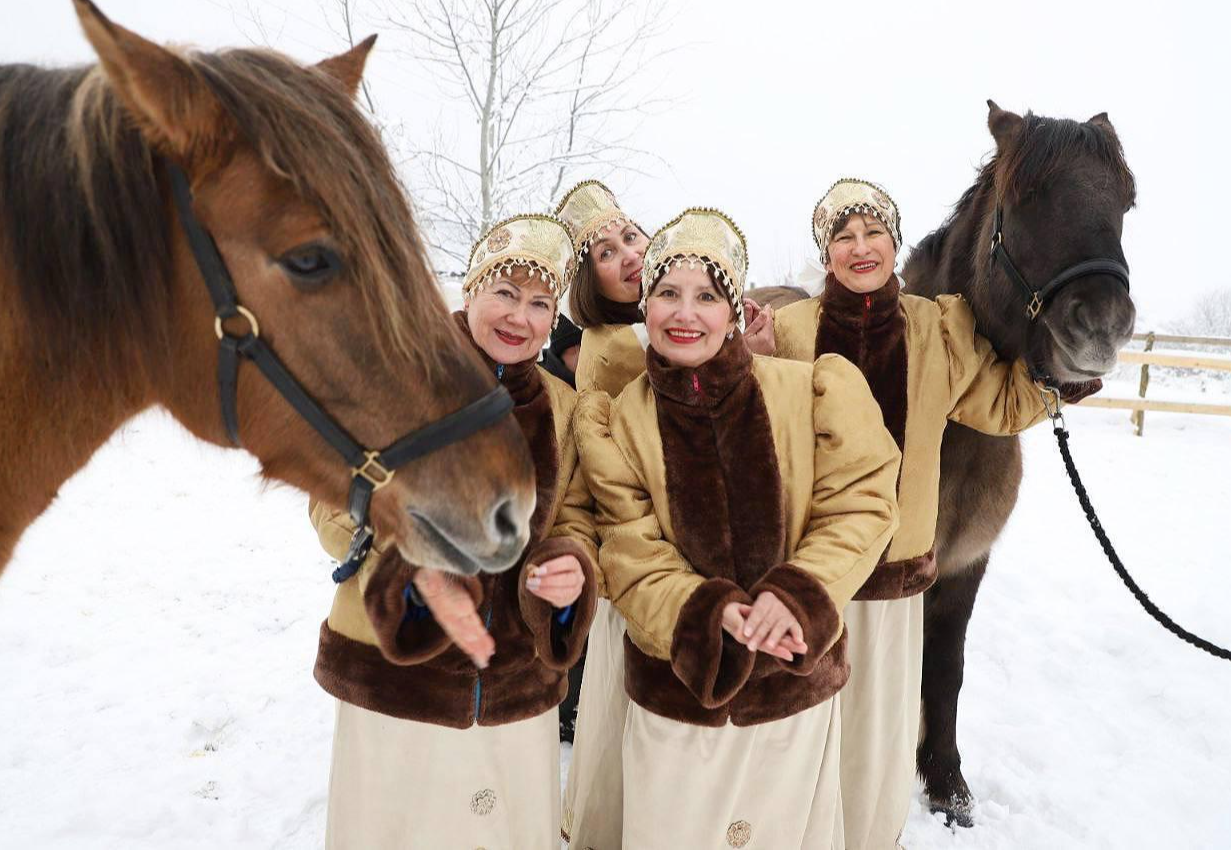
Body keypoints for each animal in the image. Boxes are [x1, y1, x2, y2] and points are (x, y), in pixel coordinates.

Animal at [901, 99, 1137, 822]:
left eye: (1126, 201)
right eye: (1025, 196)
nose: (1102, 326)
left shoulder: (964, 565)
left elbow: (945, 669)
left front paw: (947, 786)